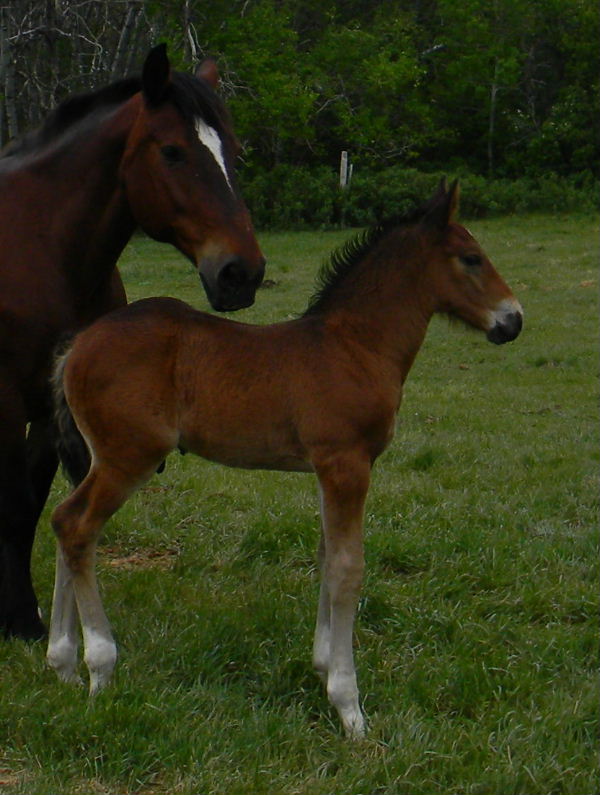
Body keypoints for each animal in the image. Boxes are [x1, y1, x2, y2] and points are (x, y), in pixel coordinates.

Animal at [0, 44, 265, 640]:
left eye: (235, 154)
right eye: (171, 151)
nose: (242, 274)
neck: (42, 249)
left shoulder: (52, 409)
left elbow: (28, 505)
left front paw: (26, 618)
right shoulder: (4, 402)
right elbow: (12, 500)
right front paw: (16, 618)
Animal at [47, 180, 522, 737]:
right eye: (472, 258)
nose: (513, 320)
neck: (356, 346)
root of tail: (78, 345)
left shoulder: (326, 468)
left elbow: (326, 556)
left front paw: (322, 666)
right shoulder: (347, 462)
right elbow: (348, 568)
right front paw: (349, 706)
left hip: (98, 458)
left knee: (65, 525)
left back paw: (63, 664)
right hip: (129, 457)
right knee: (77, 526)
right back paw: (100, 666)